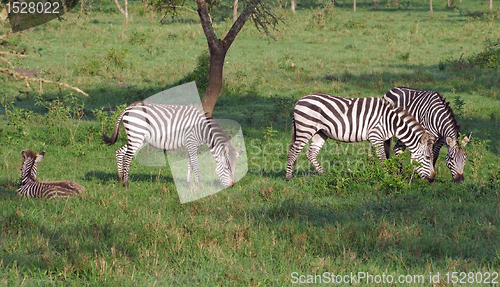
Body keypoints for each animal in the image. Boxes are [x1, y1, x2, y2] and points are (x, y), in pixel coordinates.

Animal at [100, 102, 241, 189]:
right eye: (227, 168)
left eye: (234, 168)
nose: (232, 186)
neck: (203, 130)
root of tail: (127, 108)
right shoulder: (191, 142)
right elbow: (196, 164)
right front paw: (199, 186)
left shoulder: (191, 145)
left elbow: (189, 163)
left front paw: (189, 184)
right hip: (136, 136)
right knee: (128, 157)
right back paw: (126, 183)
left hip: (137, 138)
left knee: (119, 152)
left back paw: (119, 178)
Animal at [286, 94, 438, 182]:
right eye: (427, 158)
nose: (432, 179)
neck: (392, 122)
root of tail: (299, 100)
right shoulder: (376, 136)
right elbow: (382, 158)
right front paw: (387, 176)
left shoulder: (384, 138)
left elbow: (387, 156)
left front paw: (391, 174)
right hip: (306, 128)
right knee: (293, 151)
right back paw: (288, 177)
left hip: (321, 132)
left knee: (311, 152)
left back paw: (324, 175)